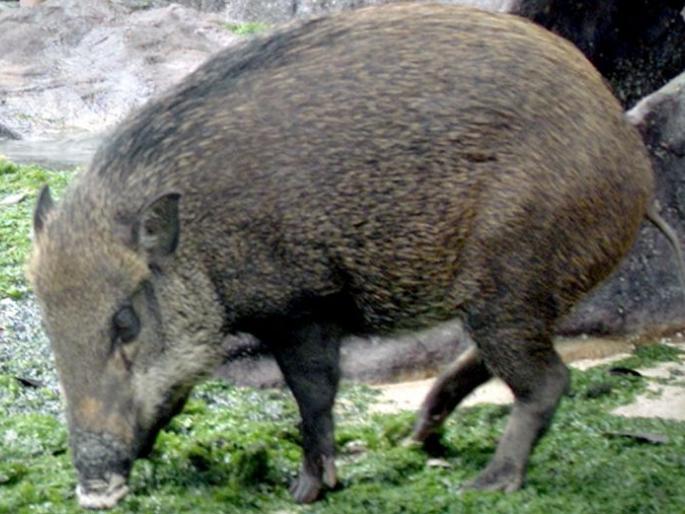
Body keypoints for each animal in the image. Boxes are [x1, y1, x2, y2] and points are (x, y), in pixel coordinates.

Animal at [28, 3, 654, 509]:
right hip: (512, 297)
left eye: (126, 321)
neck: (205, 238)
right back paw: (417, 439)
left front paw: (308, 490)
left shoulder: (303, 306)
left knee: (547, 380)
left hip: (513, 281)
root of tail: (629, 155)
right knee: (491, 361)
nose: (93, 491)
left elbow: (314, 393)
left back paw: (487, 483)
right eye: (49, 325)